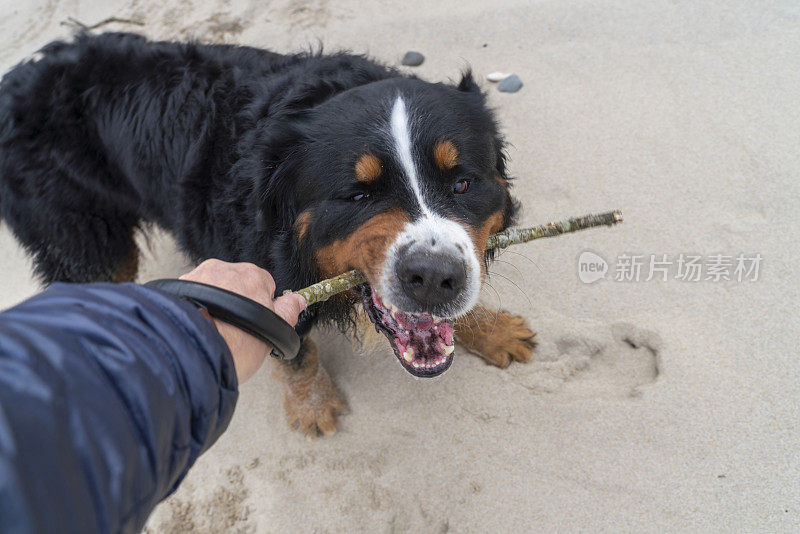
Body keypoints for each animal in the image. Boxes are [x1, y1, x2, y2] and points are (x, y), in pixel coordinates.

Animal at [3, 32, 536, 436]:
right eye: (358, 195)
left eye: (462, 183)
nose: (433, 279)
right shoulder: (262, 279)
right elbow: (296, 352)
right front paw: (312, 405)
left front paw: (491, 329)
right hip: (84, 242)